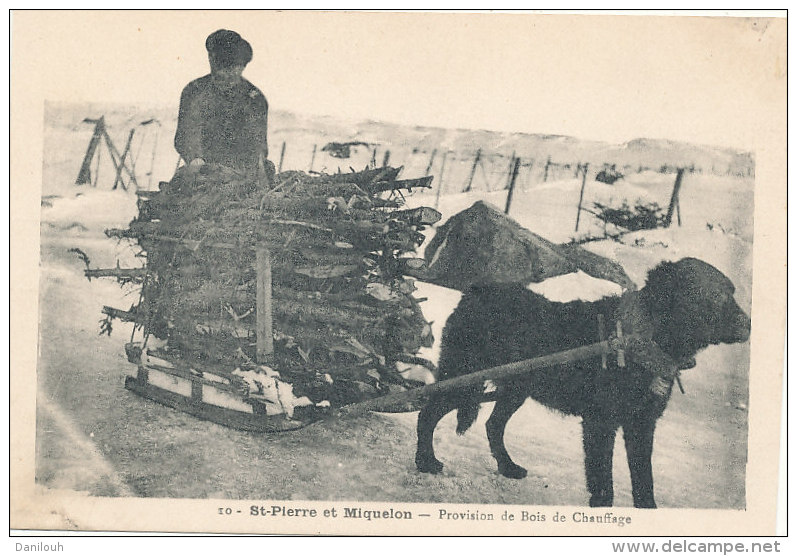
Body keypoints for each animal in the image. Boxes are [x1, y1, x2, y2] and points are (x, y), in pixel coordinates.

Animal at [416, 258, 752, 506]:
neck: (639, 338)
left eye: (732, 292)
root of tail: (475, 291)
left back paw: (507, 467)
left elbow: (644, 480)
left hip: (516, 389)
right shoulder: (600, 423)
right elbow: (603, 482)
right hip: (461, 379)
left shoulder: (642, 424)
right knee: (427, 413)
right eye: (715, 296)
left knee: (493, 425)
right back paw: (425, 461)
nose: (749, 324)